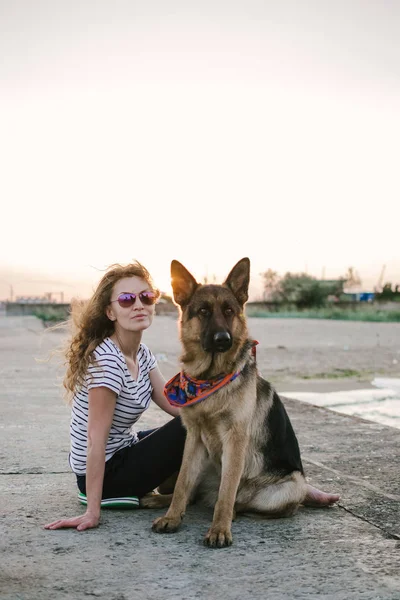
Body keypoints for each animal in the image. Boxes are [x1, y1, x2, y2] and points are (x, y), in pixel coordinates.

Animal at [150, 258, 310, 548]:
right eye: (203, 311)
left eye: (228, 311)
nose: (223, 339)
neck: (210, 378)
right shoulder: (193, 438)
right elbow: (182, 484)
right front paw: (172, 517)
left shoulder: (234, 440)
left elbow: (226, 491)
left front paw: (219, 529)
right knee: (191, 493)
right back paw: (157, 501)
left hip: (292, 486)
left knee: (238, 500)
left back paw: (233, 511)